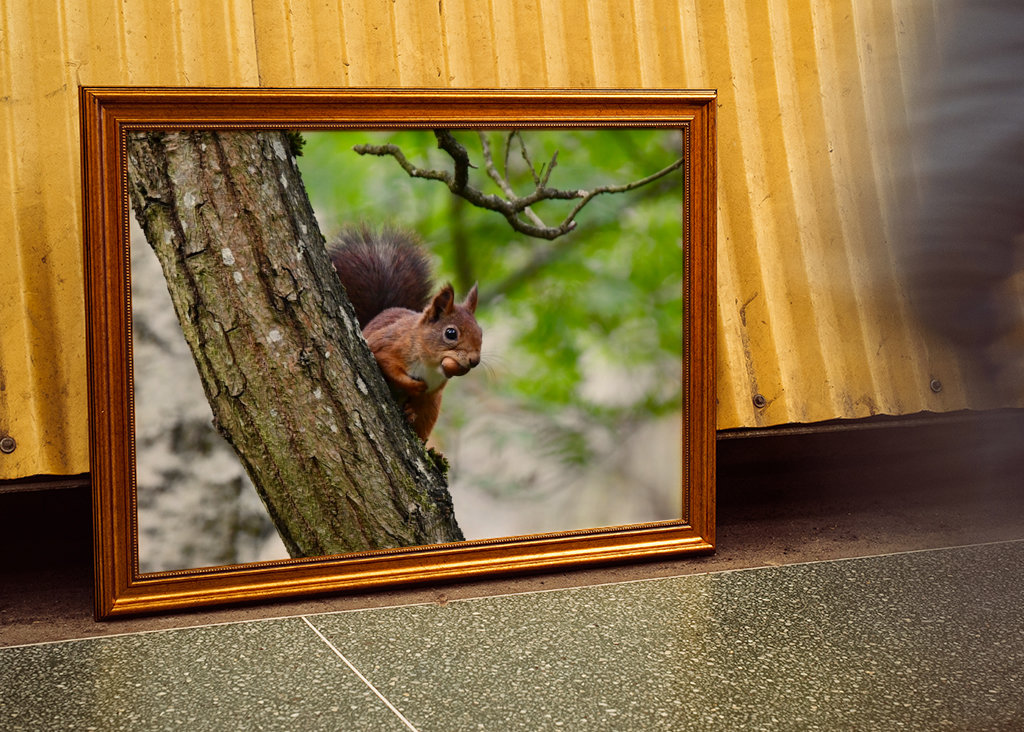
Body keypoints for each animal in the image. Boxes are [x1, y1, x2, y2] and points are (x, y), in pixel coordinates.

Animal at [328, 226, 482, 441]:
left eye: (481, 332)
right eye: (451, 333)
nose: (474, 360)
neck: (430, 364)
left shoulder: (433, 391)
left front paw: (413, 405)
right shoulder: (387, 346)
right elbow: (388, 366)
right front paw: (413, 385)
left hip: (431, 409)